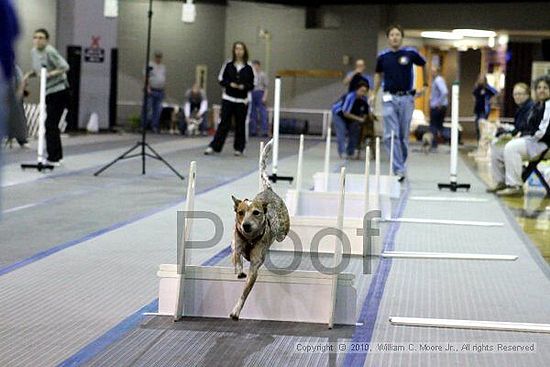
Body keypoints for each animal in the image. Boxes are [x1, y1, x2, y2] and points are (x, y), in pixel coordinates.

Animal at [229, 139, 292, 320]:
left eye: (256, 213)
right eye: (241, 212)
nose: (246, 225)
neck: (250, 239)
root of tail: (268, 190)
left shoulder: (254, 268)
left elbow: (244, 293)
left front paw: (236, 311)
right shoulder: (235, 243)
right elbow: (236, 256)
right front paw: (238, 270)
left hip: (282, 232)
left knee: (281, 235)